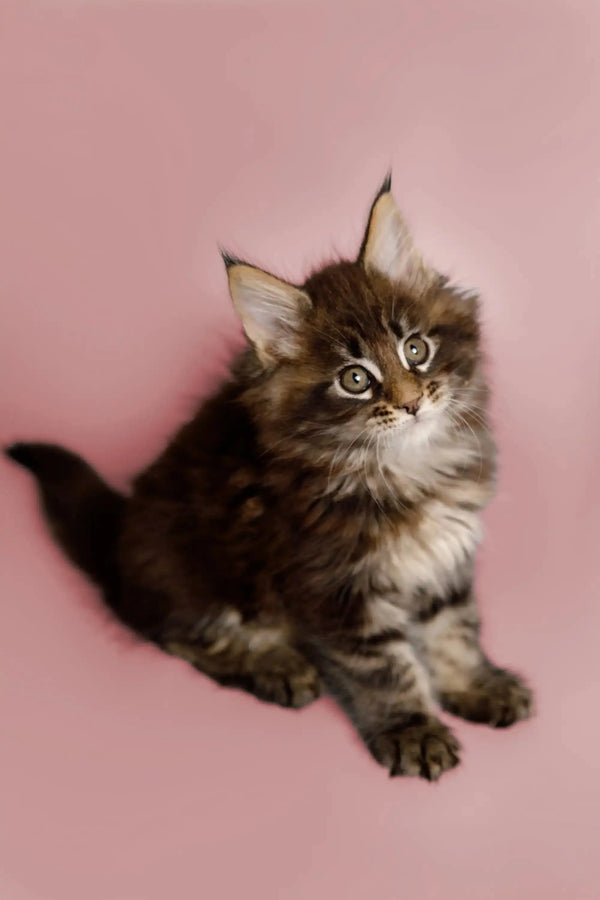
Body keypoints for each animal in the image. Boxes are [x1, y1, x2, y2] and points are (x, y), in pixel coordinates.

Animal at [3, 176, 528, 780]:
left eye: (415, 349)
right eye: (355, 380)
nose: (412, 402)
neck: (404, 470)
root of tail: (116, 540)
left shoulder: (445, 558)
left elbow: (454, 630)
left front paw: (476, 686)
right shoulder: (332, 587)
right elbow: (384, 668)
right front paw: (412, 731)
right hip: (193, 571)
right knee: (175, 635)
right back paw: (277, 666)